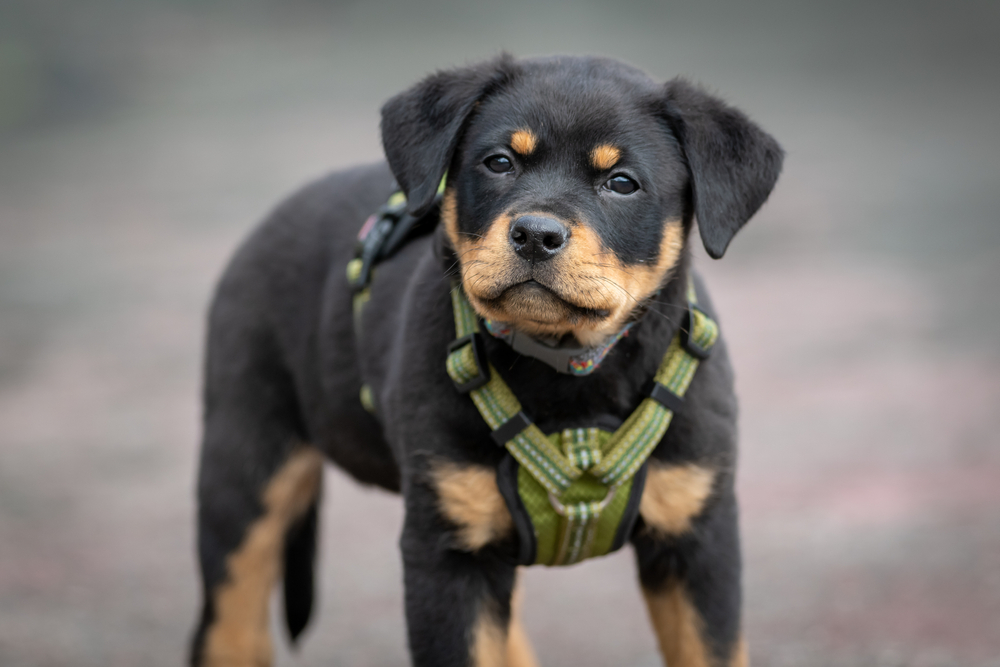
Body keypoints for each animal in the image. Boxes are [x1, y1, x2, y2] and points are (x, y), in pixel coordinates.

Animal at [188, 53, 780, 667]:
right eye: (499, 163)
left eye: (622, 183)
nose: (536, 234)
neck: (568, 372)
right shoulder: (446, 552)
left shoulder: (698, 533)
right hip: (245, 464)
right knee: (229, 623)